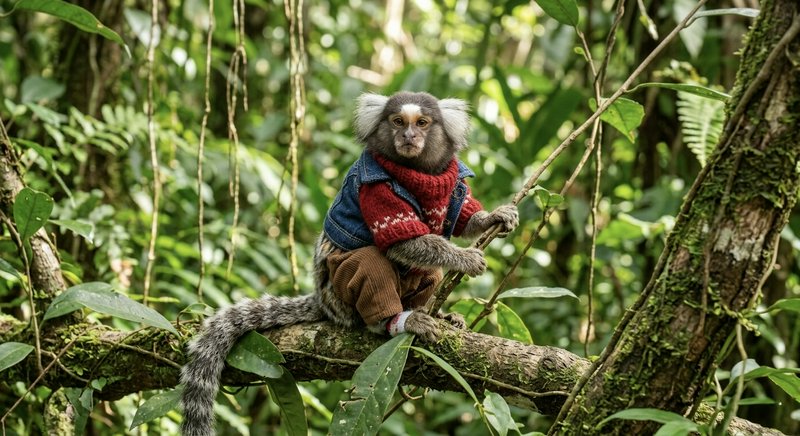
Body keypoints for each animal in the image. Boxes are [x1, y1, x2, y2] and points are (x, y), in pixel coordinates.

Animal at [180, 91, 519, 436]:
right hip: (339, 296)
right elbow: (403, 242)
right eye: (398, 122)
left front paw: (492, 216)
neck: (418, 176)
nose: (408, 136)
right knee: (370, 264)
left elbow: (461, 215)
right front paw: (465, 258)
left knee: (429, 272)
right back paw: (398, 321)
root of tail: (321, 300)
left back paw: (432, 313)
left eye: (422, 123)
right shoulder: (376, 189)